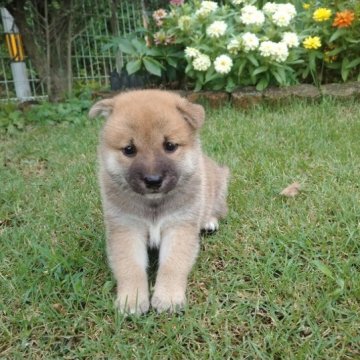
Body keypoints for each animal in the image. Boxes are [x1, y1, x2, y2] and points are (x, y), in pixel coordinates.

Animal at [90, 90, 231, 316]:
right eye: (129, 149)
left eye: (170, 146)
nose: (153, 180)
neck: (153, 205)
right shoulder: (127, 228)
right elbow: (130, 267)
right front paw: (132, 299)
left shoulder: (179, 226)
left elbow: (172, 265)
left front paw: (168, 298)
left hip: (219, 183)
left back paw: (209, 221)